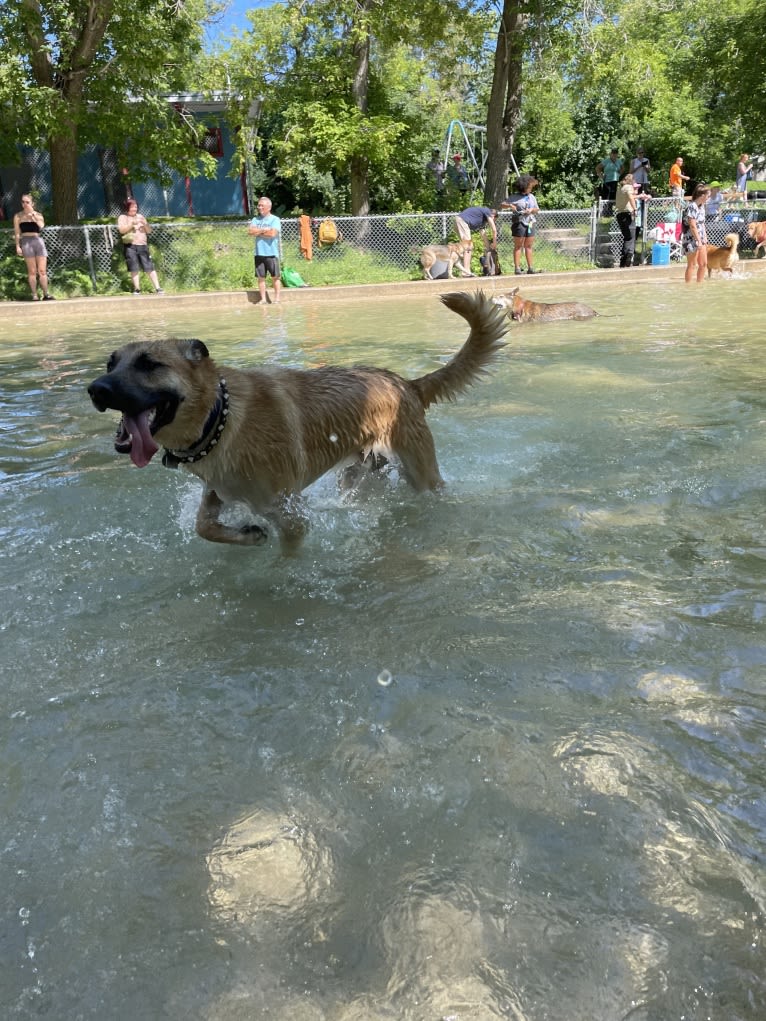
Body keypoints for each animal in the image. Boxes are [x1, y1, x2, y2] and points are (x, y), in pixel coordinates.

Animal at [86, 292, 506, 551]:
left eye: (149, 364)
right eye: (111, 363)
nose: (96, 390)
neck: (221, 419)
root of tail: (406, 383)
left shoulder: (290, 516)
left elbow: (287, 556)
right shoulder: (218, 489)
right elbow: (203, 526)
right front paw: (248, 535)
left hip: (420, 473)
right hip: (358, 476)